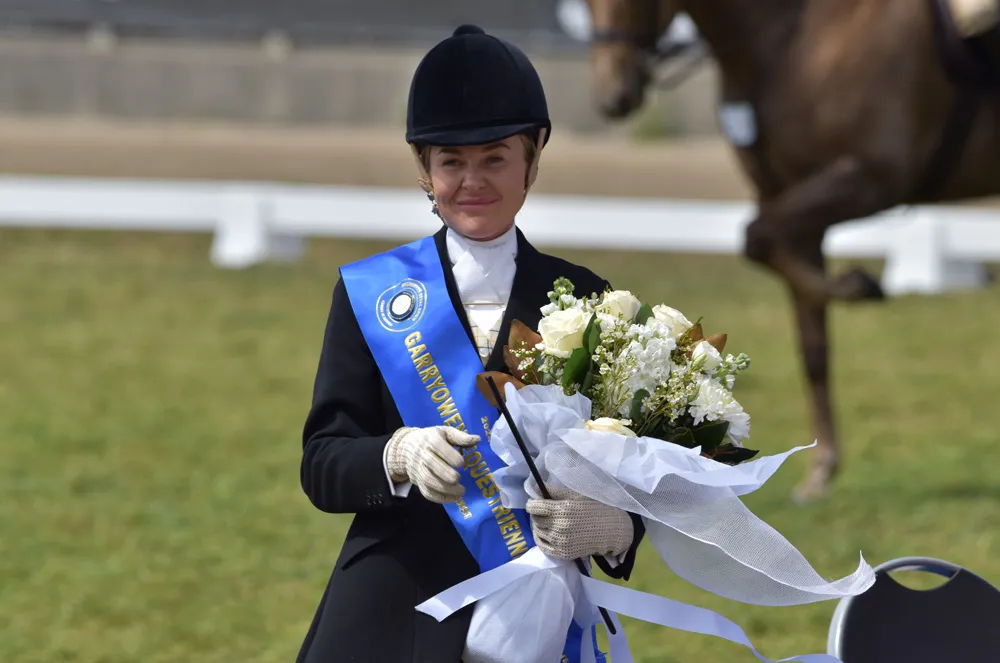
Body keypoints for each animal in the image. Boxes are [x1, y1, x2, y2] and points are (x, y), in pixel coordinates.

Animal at [584, 0, 1000, 500]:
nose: (613, 97)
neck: (795, 39)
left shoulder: (869, 178)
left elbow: (758, 237)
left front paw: (859, 283)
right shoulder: (791, 198)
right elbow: (812, 341)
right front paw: (822, 470)